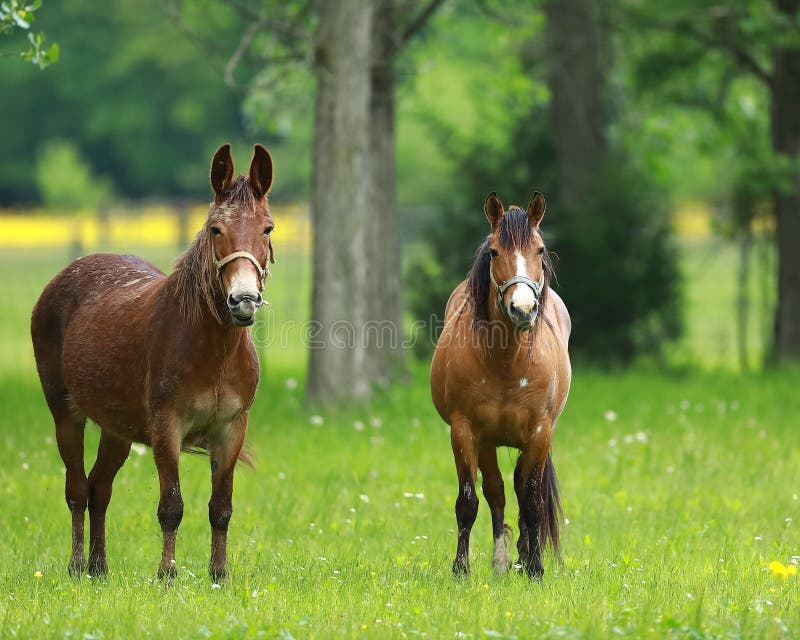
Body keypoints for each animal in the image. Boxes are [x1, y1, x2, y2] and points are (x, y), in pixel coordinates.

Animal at [32, 144, 276, 580]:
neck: (214, 352)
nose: (244, 300)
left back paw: (99, 567)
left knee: (99, 487)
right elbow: (171, 507)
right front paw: (167, 575)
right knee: (77, 489)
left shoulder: (232, 430)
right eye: (216, 230)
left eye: (267, 229)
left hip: (117, 430)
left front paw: (219, 575)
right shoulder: (167, 428)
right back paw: (77, 565)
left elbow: (221, 509)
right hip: (65, 414)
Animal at [432, 191, 568, 580]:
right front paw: (461, 570)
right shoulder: (465, 432)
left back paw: (523, 557)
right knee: (497, 492)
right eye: (493, 252)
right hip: (488, 443)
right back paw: (503, 560)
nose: (522, 308)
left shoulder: (539, 433)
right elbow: (469, 501)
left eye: (540, 249)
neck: (507, 363)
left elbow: (533, 500)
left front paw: (536, 567)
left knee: (522, 489)